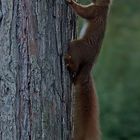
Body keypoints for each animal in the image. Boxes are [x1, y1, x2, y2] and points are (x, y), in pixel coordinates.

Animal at [65, 0, 111, 140]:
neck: (103, 7)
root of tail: (90, 64)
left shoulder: (94, 11)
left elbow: (83, 12)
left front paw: (71, 2)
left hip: (77, 46)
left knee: (75, 62)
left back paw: (68, 63)